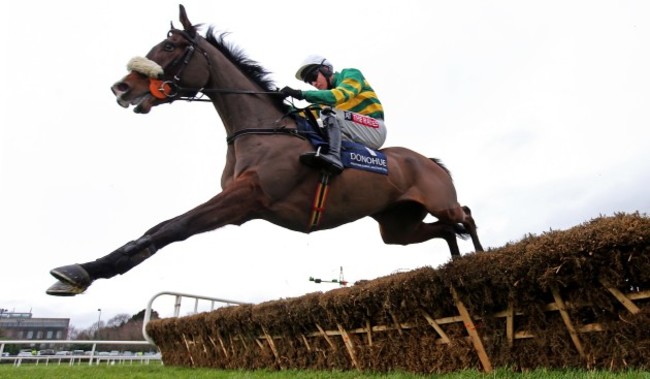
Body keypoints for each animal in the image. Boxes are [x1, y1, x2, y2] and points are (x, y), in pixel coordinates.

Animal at [45, 5, 480, 296]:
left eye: (169, 47)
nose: (121, 88)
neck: (259, 130)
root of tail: (430, 162)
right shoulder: (239, 200)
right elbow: (159, 228)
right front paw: (84, 269)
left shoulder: (247, 196)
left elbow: (172, 227)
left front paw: (83, 272)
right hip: (396, 227)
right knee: (445, 230)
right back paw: (460, 264)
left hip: (439, 202)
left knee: (466, 216)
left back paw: (480, 257)